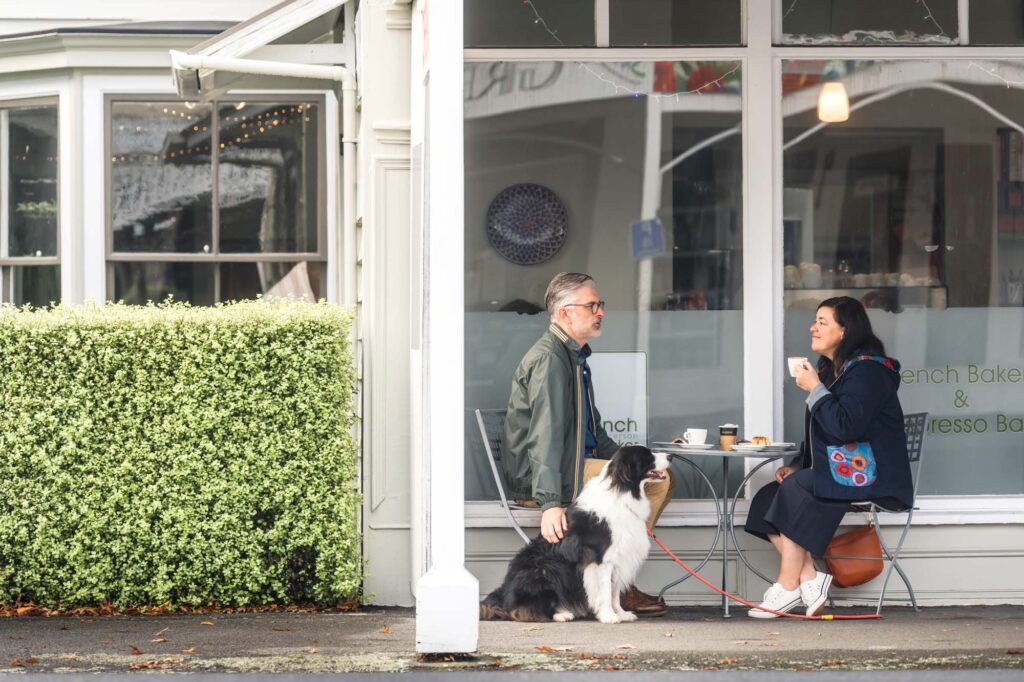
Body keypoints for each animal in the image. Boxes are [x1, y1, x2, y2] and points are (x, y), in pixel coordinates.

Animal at [479, 446, 671, 622]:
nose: (670, 456)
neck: (622, 491)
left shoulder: (619, 556)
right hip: (544, 571)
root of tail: (502, 595)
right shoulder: (601, 559)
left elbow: (615, 591)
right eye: (647, 456)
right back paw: (562, 614)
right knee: (523, 610)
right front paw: (608, 616)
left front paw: (621, 614)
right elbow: (605, 590)